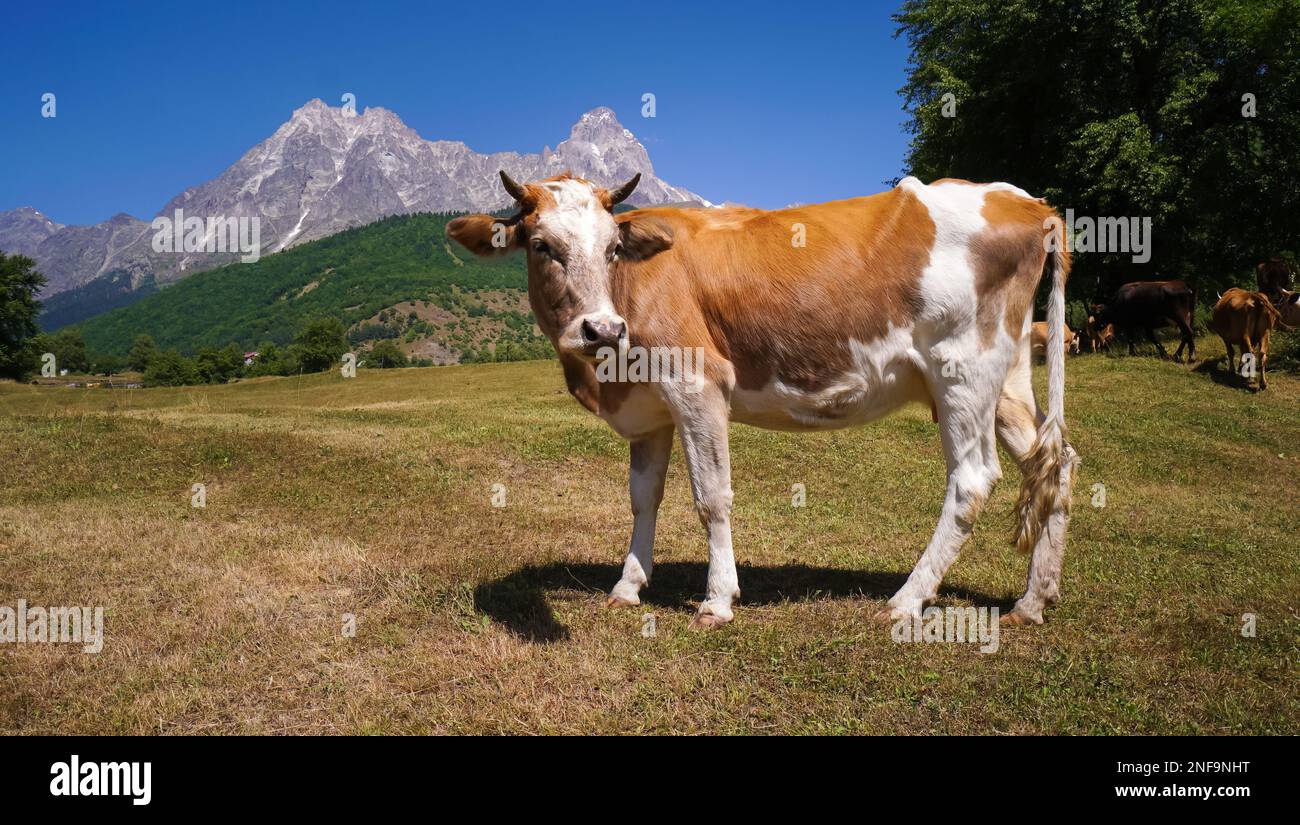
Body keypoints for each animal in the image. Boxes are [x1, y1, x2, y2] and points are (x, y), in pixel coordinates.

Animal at [448, 172, 1077, 628]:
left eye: (612, 248)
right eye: (541, 246)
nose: (602, 329)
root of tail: (1028, 202)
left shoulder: (697, 383)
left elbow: (711, 497)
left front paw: (717, 601)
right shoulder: (650, 412)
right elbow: (643, 498)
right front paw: (628, 586)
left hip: (962, 370)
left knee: (972, 481)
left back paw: (907, 599)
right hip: (1007, 379)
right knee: (1055, 464)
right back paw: (1033, 600)